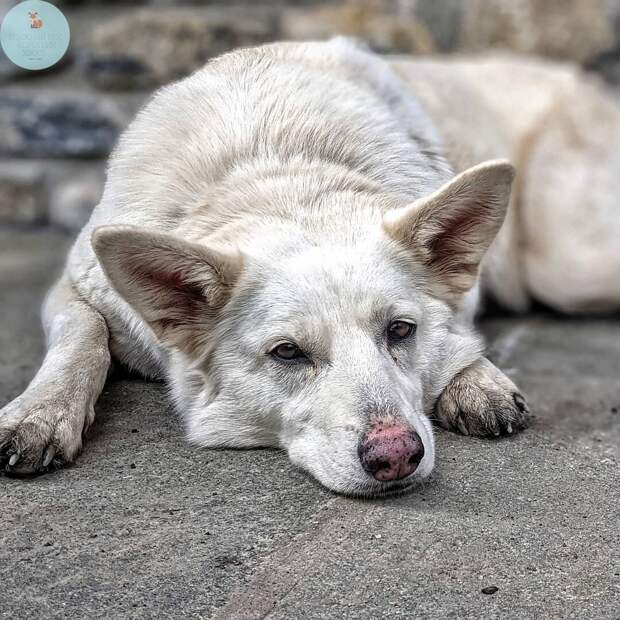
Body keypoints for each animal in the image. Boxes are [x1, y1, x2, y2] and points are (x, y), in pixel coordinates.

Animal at [2, 37, 616, 494]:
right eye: (288, 353)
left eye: (400, 330)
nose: (396, 456)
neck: (274, 164)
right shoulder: (74, 287)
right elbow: (83, 336)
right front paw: (39, 413)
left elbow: (458, 338)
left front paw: (475, 378)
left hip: (564, 267)